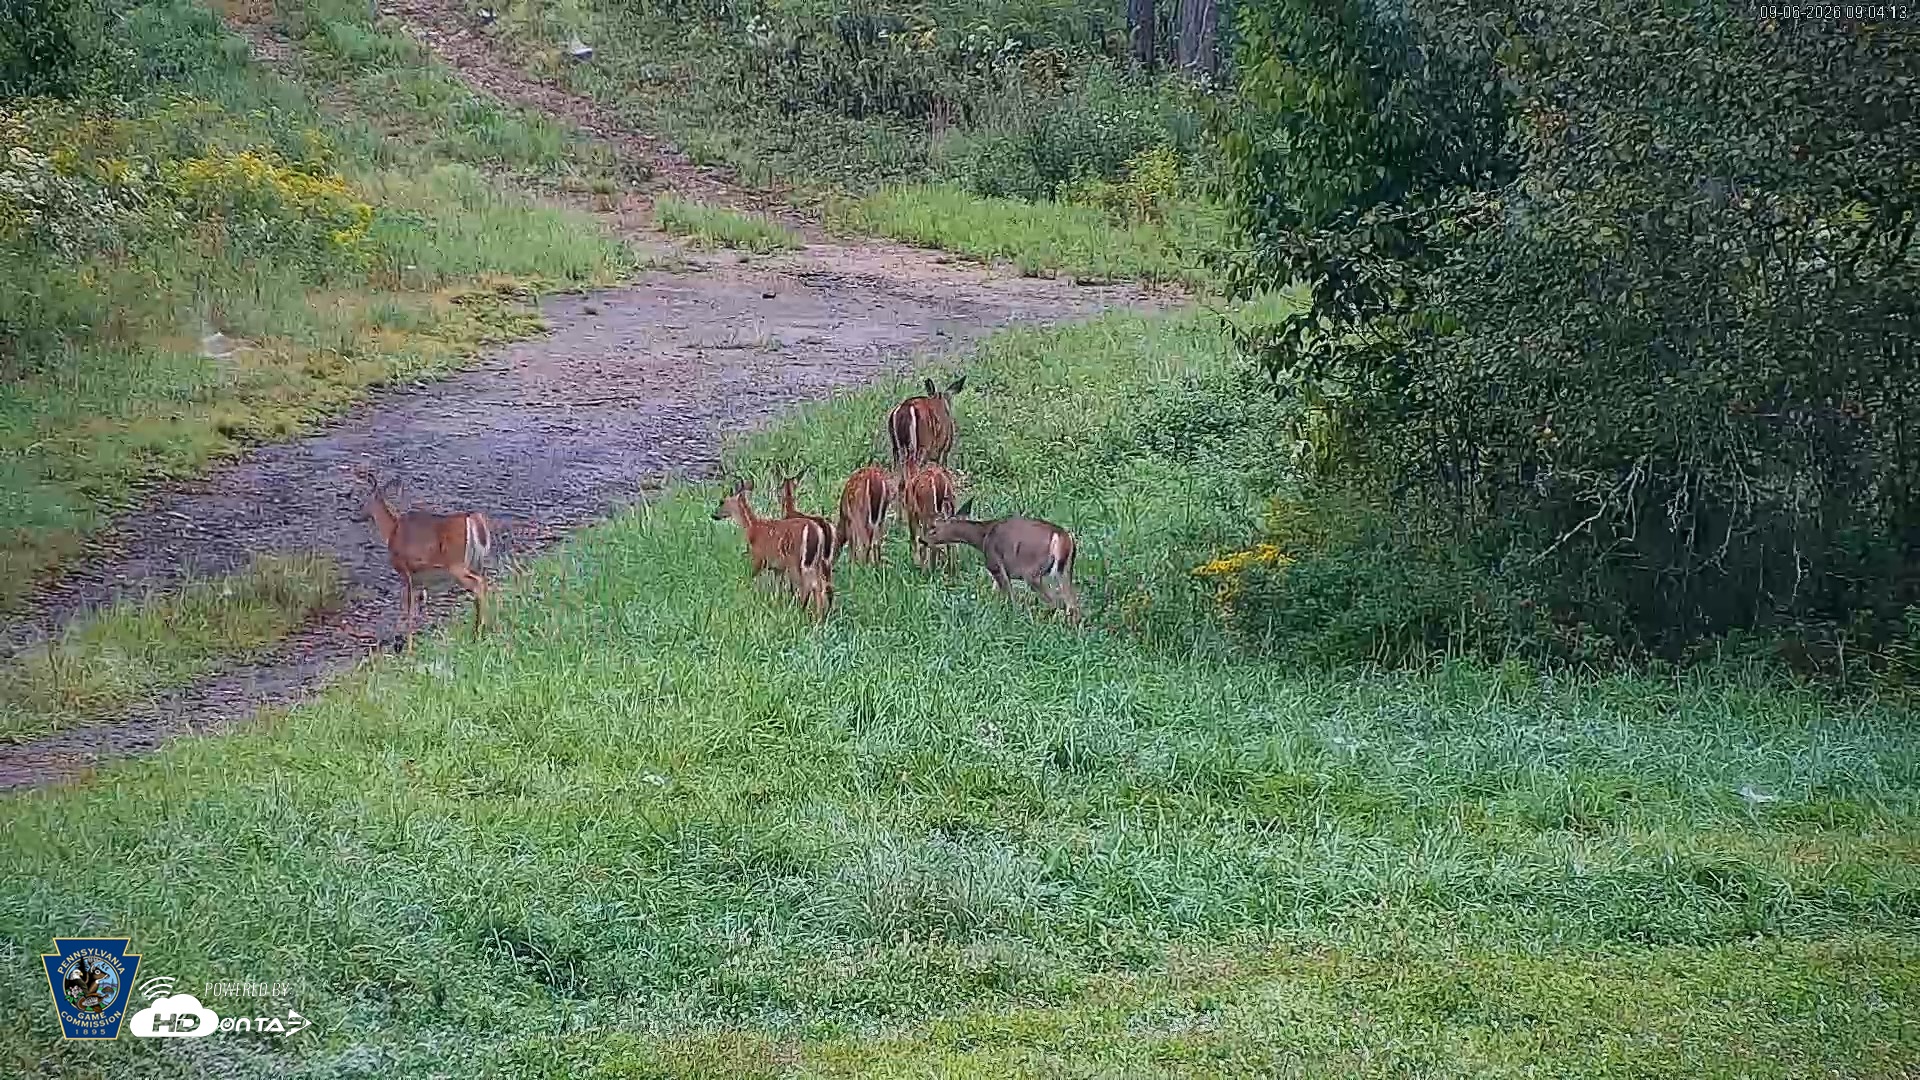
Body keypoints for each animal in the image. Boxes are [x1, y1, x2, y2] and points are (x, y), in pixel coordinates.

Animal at [353, 465, 493, 649]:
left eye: (363, 501)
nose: (357, 515)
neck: (391, 531)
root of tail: (474, 519)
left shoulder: (405, 571)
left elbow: (408, 609)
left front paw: (407, 647)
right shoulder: (419, 579)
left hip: (456, 564)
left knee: (479, 584)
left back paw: (482, 631)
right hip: (475, 563)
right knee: (483, 584)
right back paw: (481, 630)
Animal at [712, 478, 833, 621]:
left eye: (722, 501)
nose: (713, 514)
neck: (752, 527)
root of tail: (817, 531)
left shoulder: (759, 558)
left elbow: (748, 578)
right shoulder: (777, 568)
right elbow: (777, 588)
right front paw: (775, 604)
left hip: (797, 561)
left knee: (808, 585)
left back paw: (803, 612)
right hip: (816, 562)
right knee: (820, 585)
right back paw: (818, 617)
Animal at [921, 499, 1081, 625]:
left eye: (933, 527)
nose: (922, 540)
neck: (983, 538)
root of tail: (1063, 536)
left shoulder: (995, 564)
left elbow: (1009, 598)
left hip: (1032, 572)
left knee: (1056, 602)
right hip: (1064, 570)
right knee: (1072, 604)